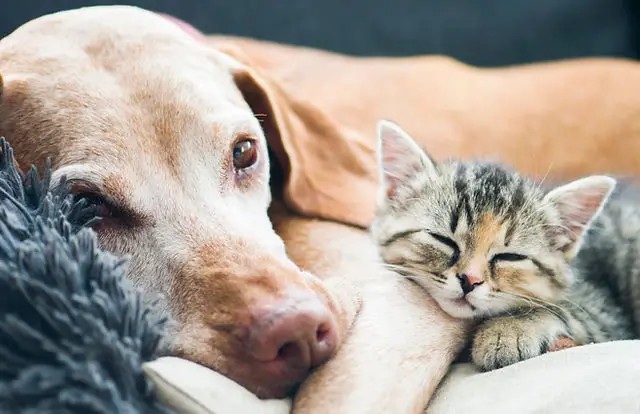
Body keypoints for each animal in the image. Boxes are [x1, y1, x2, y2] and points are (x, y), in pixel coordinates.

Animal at [372, 120, 636, 372]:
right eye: (443, 240)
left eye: (510, 257)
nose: (470, 280)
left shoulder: (606, 315)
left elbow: (563, 309)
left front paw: (508, 331)